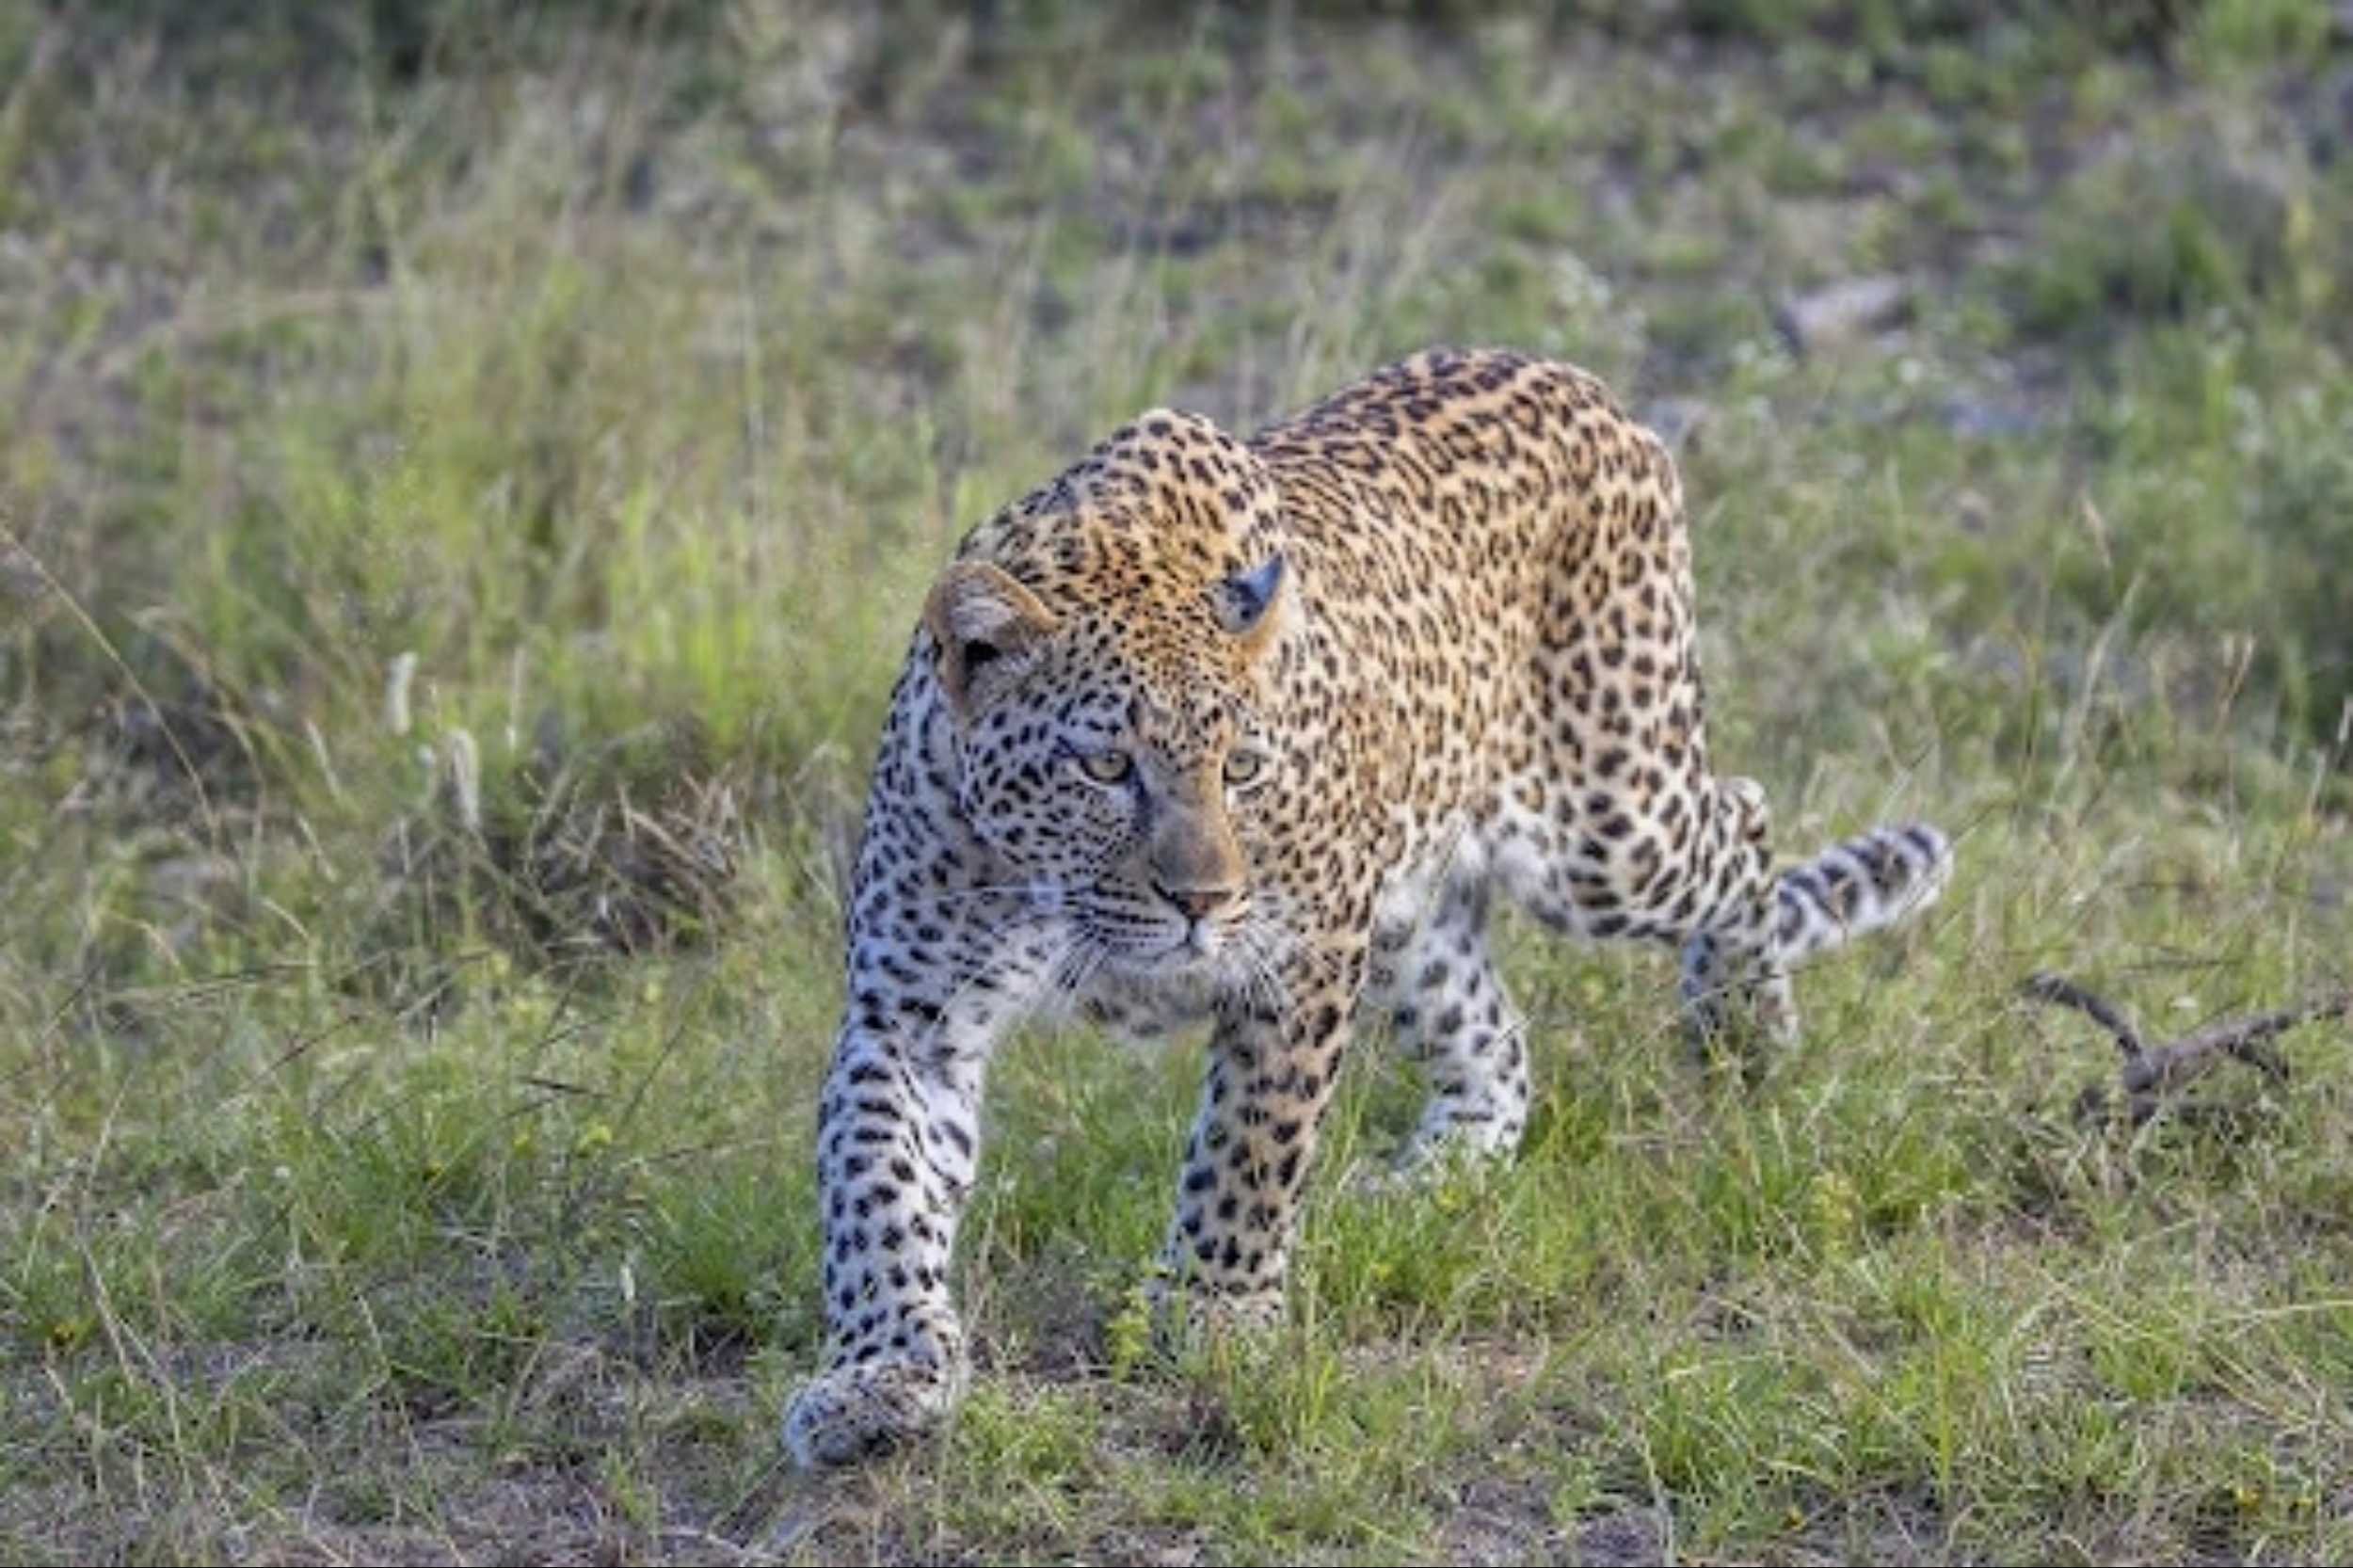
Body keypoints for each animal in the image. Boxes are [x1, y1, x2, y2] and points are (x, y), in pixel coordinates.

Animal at [783, 347, 1953, 1467]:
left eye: (1243, 768)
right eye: (1106, 765)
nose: (1203, 900)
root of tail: (1589, 388)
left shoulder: (1298, 954)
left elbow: (1249, 1148)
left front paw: (1212, 1314)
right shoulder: (909, 1012)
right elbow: (875, 1189)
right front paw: (882, 1371)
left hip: (1607, 828)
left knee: (1742, 814)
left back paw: (1743, 1033)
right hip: (1415, 907)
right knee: (1497, 1044)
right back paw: (1430, 1177)